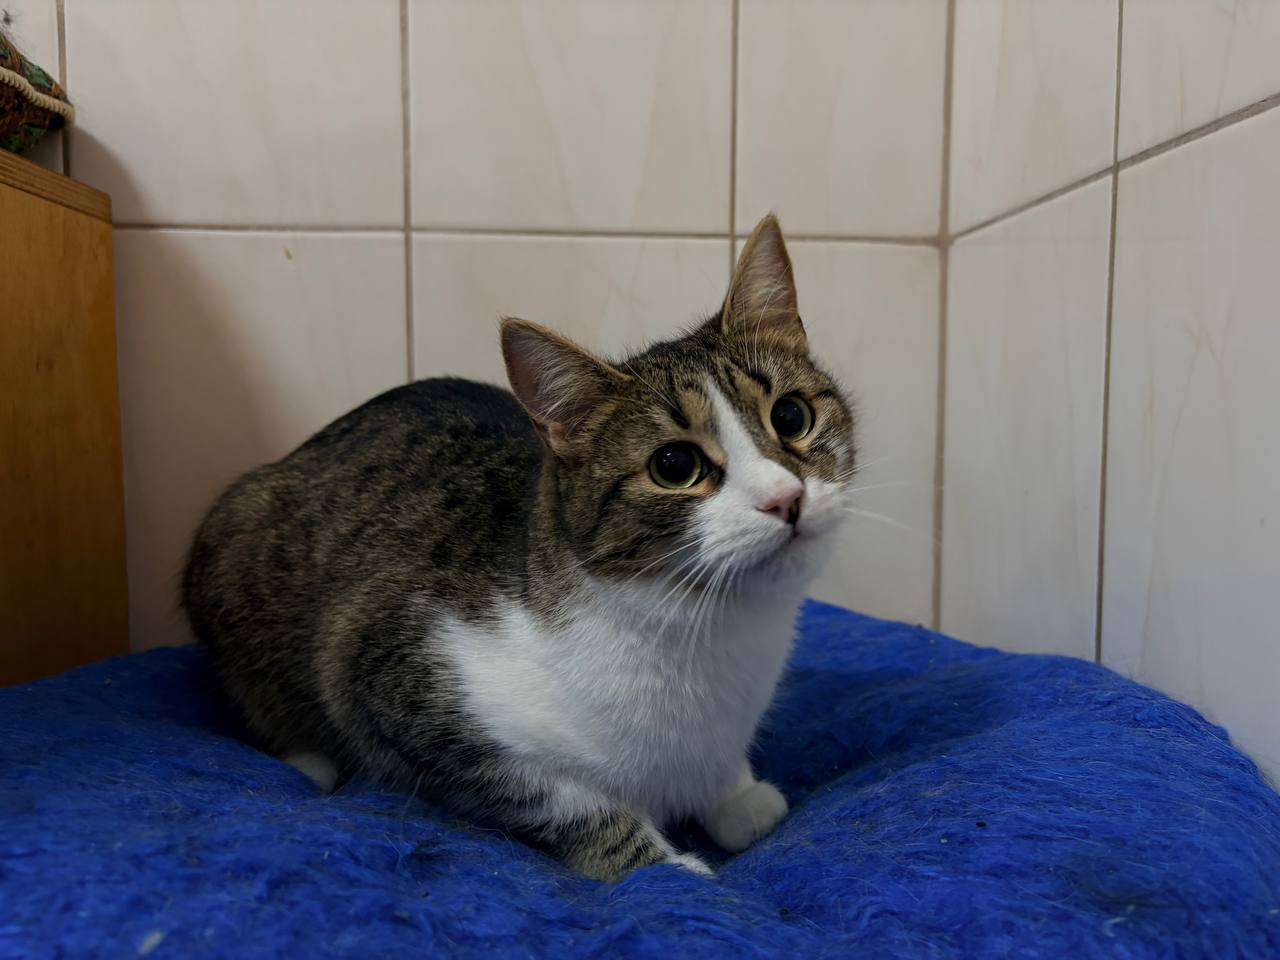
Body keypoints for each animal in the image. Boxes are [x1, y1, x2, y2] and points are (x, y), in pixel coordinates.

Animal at [182, 215, 858, 881]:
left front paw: (737, 795)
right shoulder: (394, 677)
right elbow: (570, 803)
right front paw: (666, 869)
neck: (708, 633)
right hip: (237, 538)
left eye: (791, 416)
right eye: (675, 465)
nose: (785, 498)